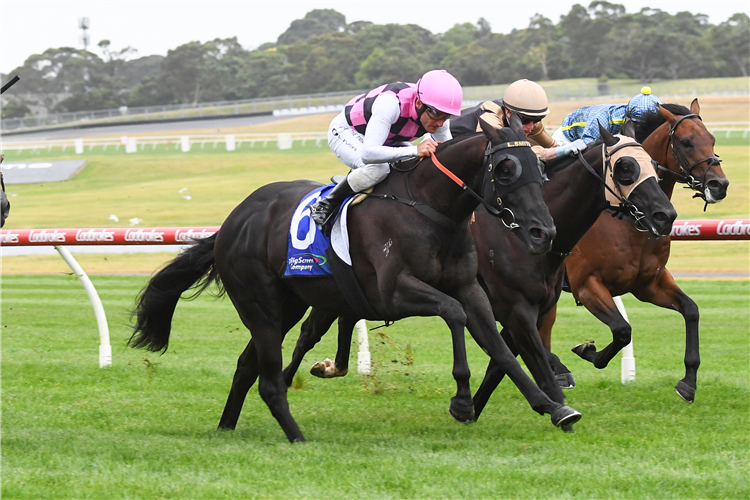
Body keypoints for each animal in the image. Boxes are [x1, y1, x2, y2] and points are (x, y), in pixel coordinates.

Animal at [131, 120, 588, 442]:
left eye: (541, 170)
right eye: (506, 169)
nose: (542, 233)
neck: (430, 209)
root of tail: (230, 223)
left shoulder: (472, 289)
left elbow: (502, 349)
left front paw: (554, 408)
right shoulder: (393, 293)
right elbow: (454, 313)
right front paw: (461, 401)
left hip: (288, 305)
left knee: (247, 367)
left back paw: (226, 427)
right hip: (260, 307)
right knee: (268, 379)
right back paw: (297, 437)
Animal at [544, 98, 732, 402]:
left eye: (712, 139)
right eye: (686, 142)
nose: (719, 185)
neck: (629, 220)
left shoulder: (648, 283)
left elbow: (691, 310)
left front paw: (688, 382)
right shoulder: (587, 285)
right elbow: (622, 330)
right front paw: (588, 351)